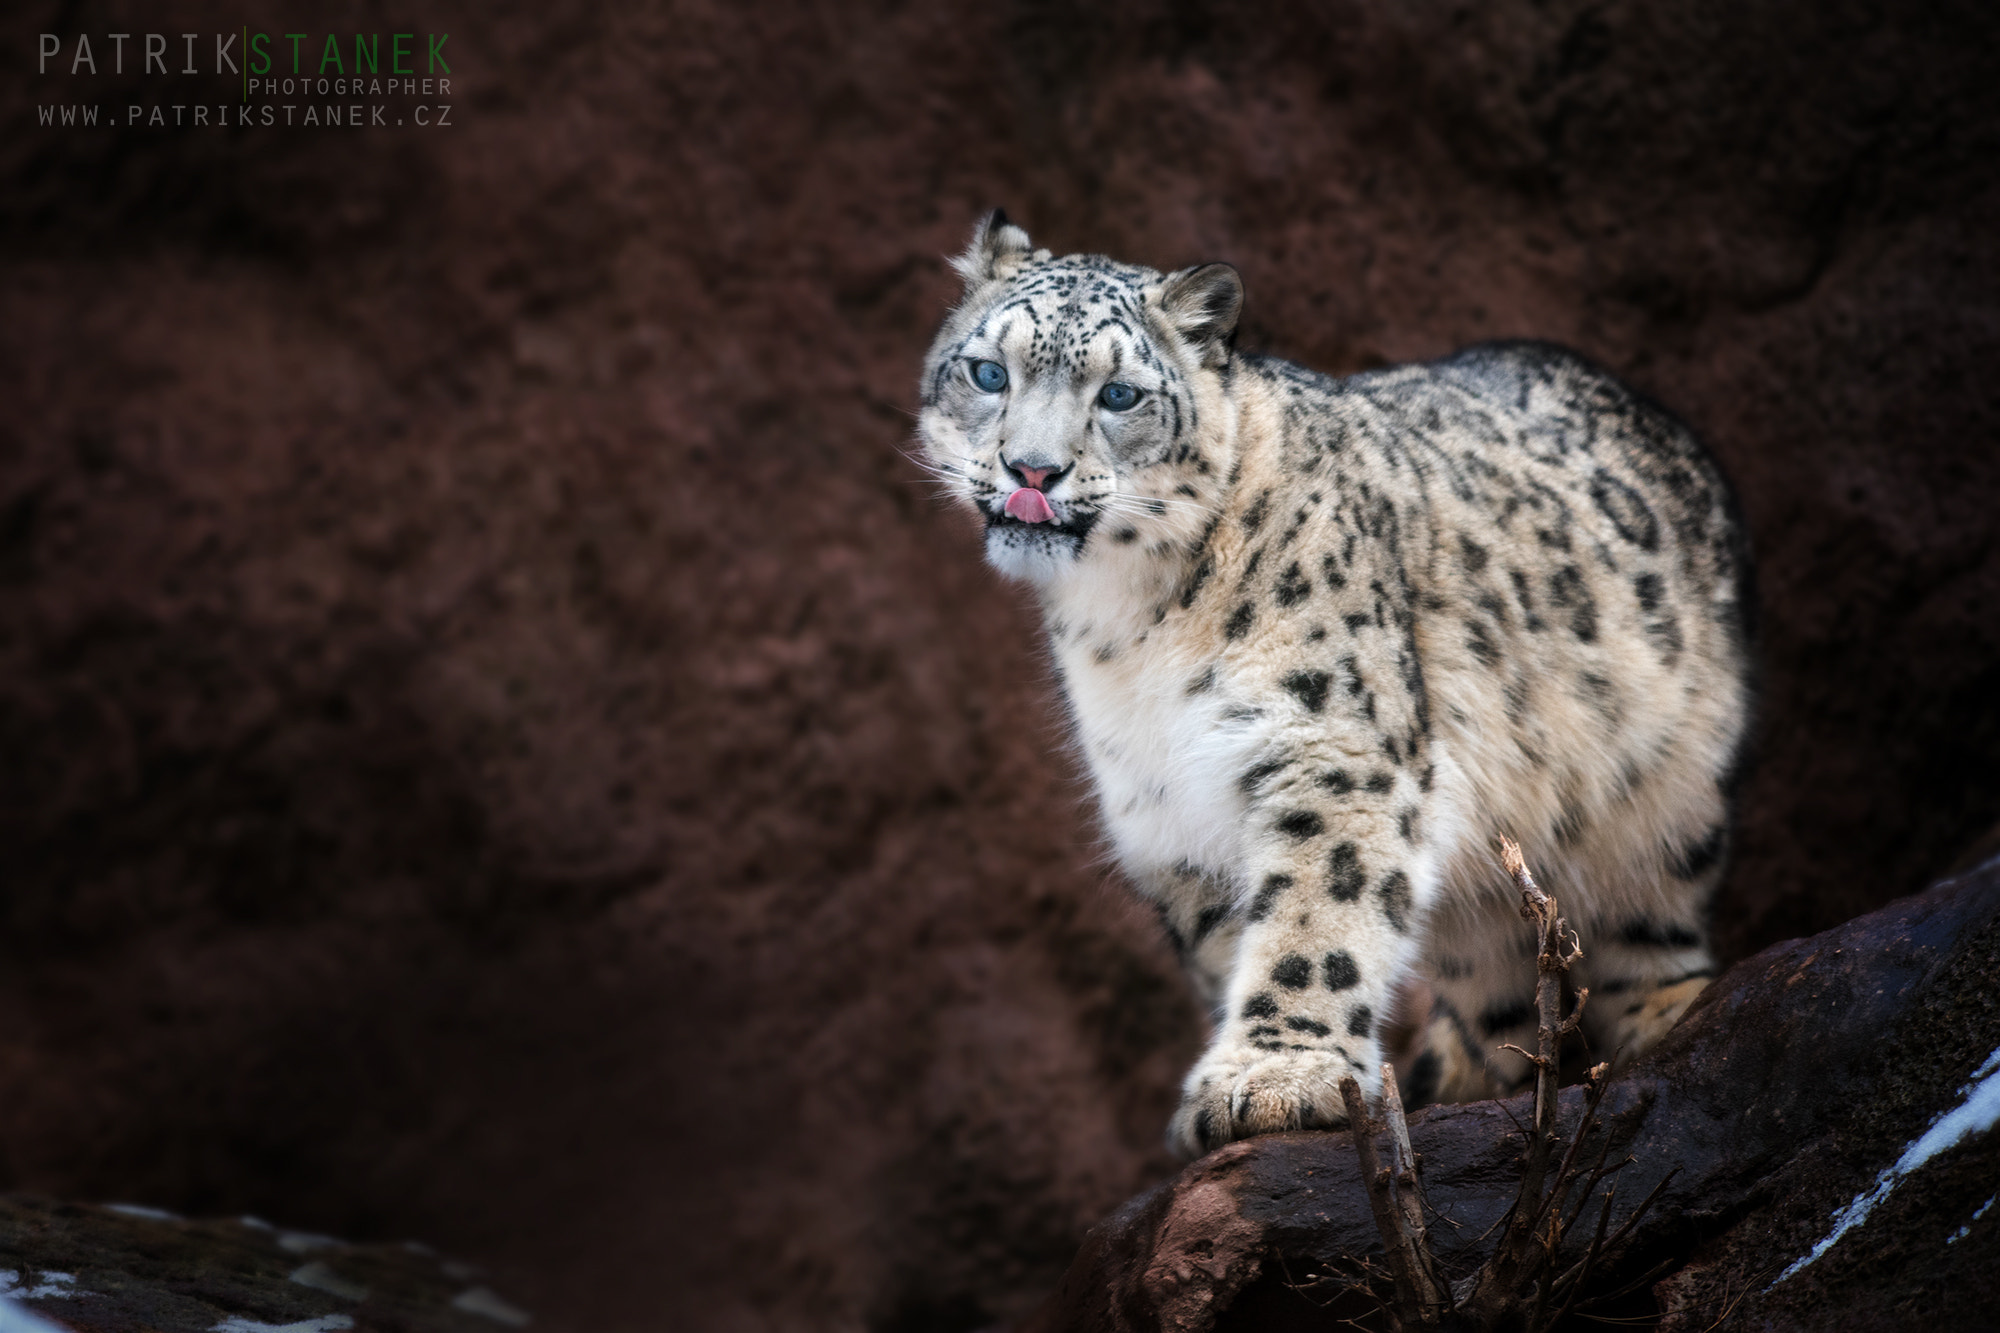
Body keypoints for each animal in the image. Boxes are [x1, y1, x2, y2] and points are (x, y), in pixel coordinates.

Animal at [916, 210, 1752, 1152]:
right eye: (989, 372)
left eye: (1120, 395)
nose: (1031, 469)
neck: (1131, 622)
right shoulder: (1165, 802)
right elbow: (1237, 936)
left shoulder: (1333, 747)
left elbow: (1316, 914)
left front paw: (1276, 1079)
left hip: (1664, 786)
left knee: (1648, 912)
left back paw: (1665, 1018)